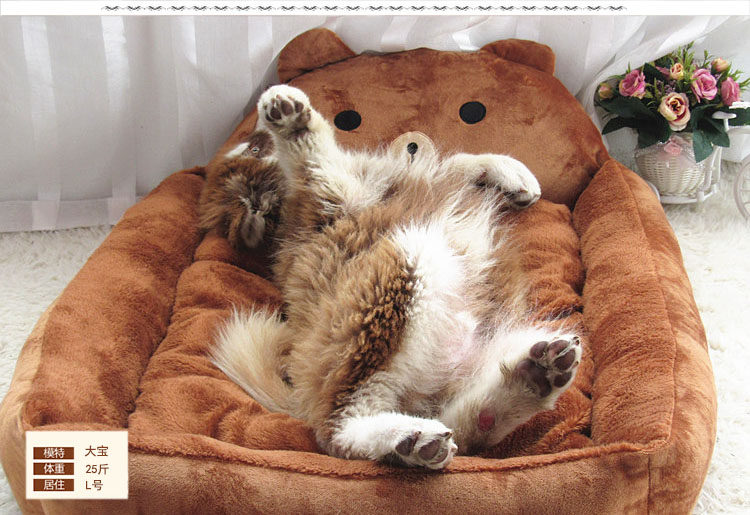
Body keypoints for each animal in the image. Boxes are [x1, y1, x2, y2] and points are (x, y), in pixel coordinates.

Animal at [210, 85, 581, 469]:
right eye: (252, 149)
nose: (253, 126)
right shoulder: (332, 190)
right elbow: (312, 155)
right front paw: (291, 118)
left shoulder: (400, 175)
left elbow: (454, 162)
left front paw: (510, 173)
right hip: (398, 278)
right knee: (336, 427)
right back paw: (406, 439)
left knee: (464, 429)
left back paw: (529, 381)